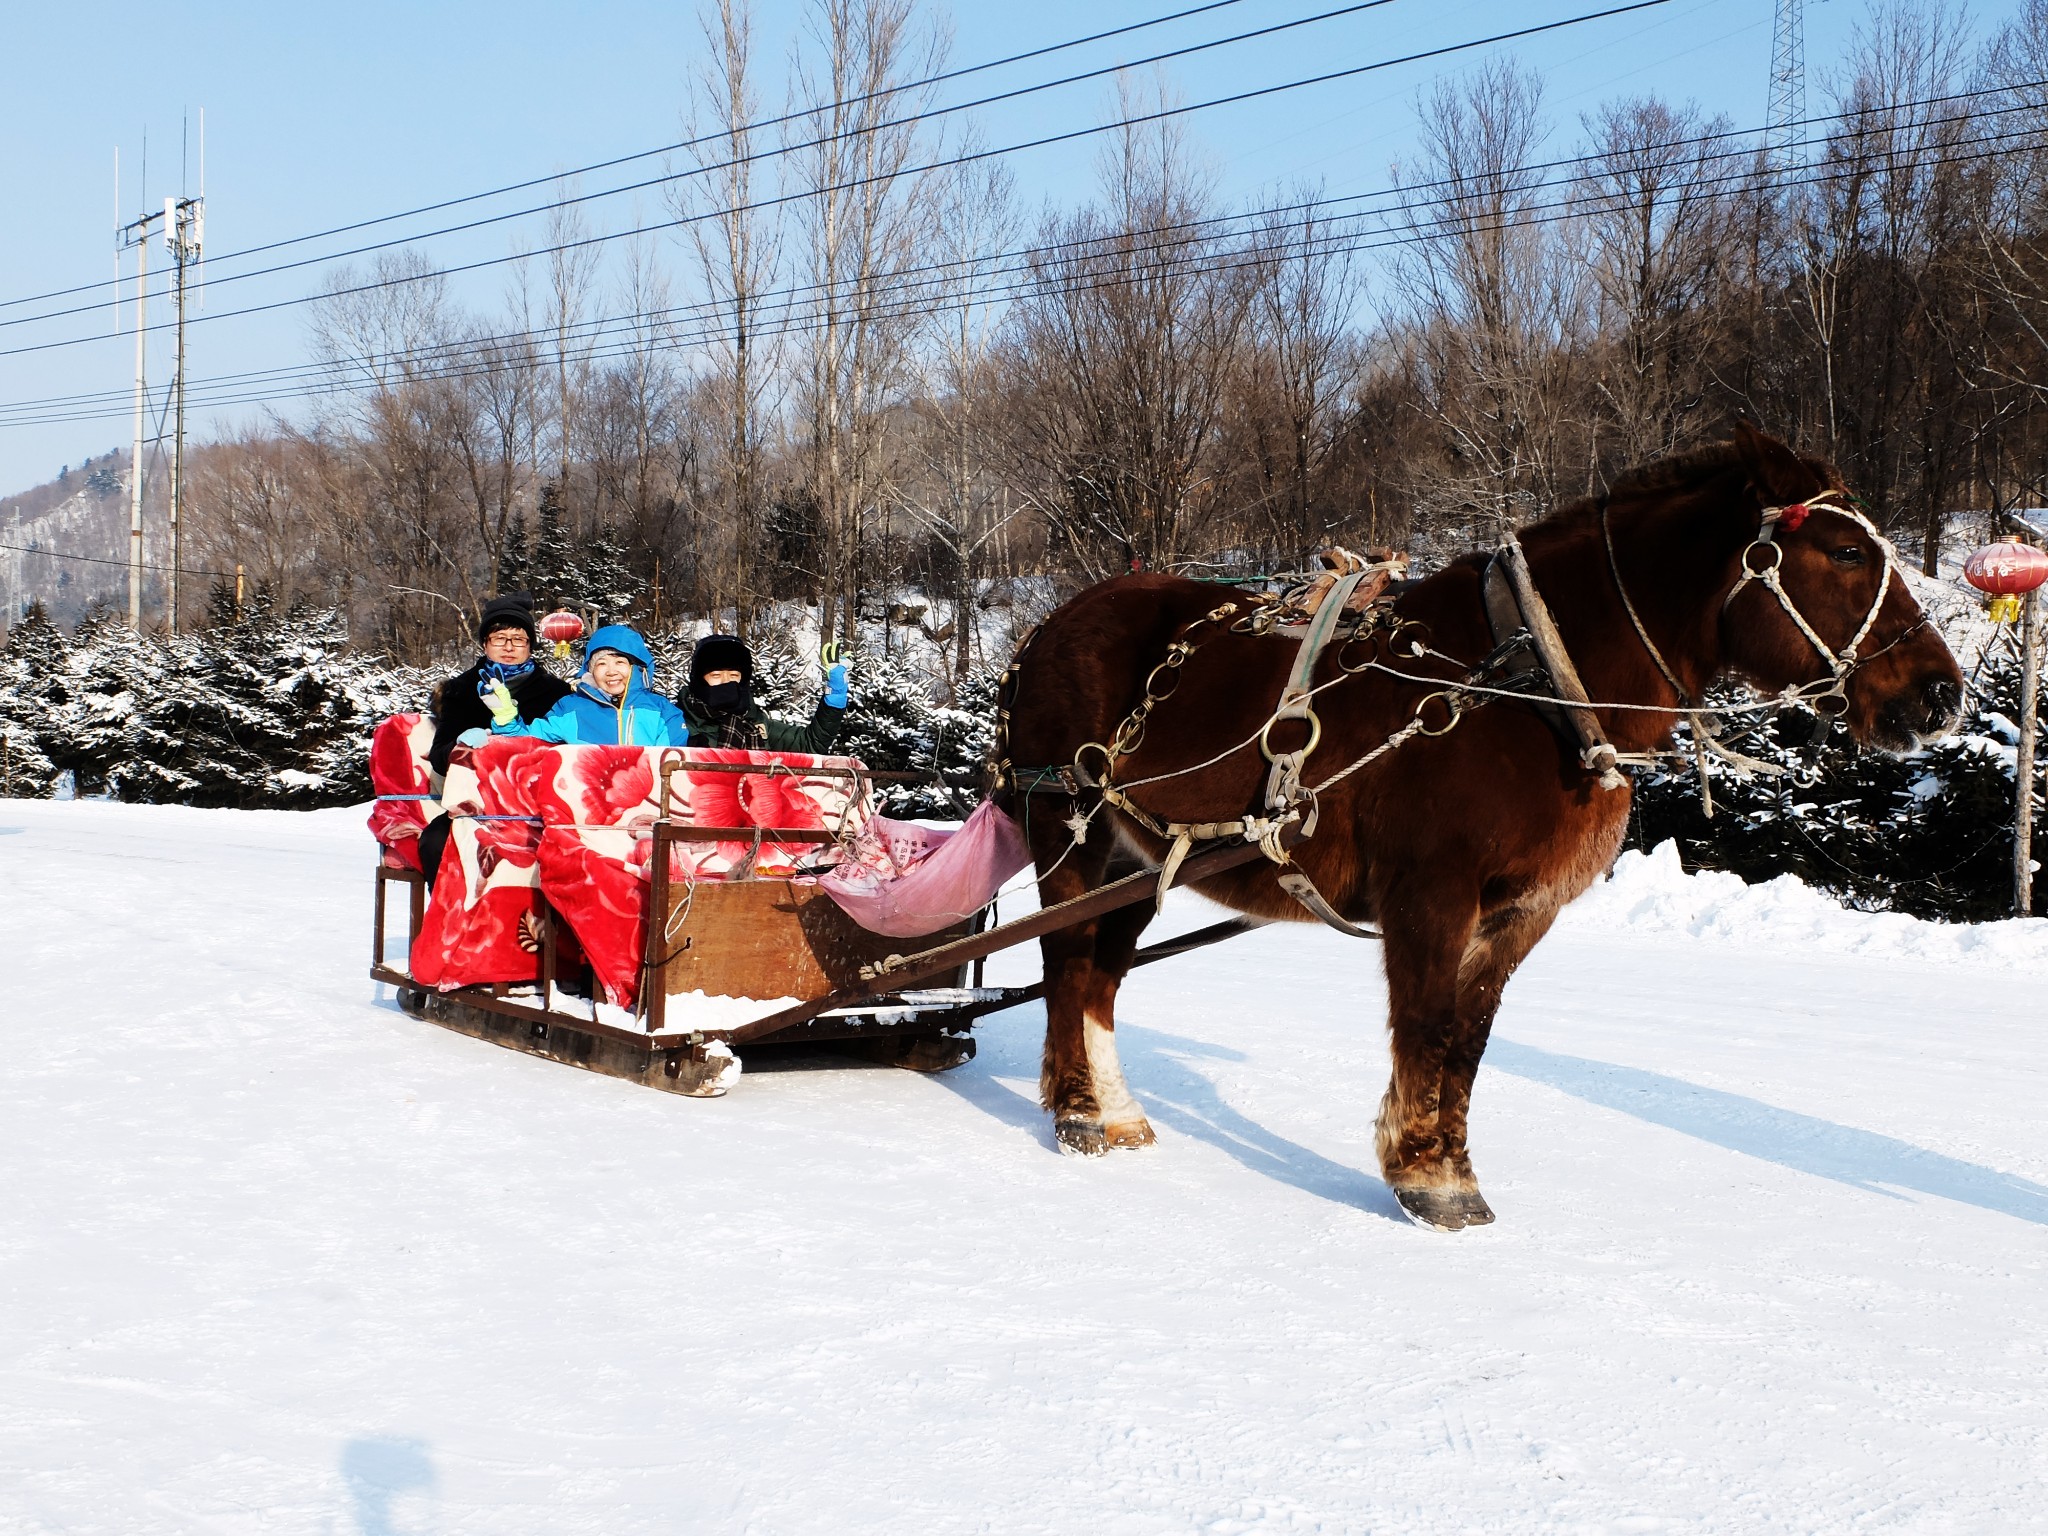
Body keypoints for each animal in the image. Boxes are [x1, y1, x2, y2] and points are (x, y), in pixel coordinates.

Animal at [999, 428, 1957, 1236]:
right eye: (1845, 553)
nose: (1941, 694)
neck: (1530, 685)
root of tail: (1047, 626)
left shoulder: (1520, 912)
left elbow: (1467, 1041)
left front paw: (1447, 1167)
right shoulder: (1432, 894)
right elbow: (1425, 1025)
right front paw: (1427, 1177)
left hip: (1144, 854)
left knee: (1102, 975)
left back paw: (1116, 1109)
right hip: (1071, 834)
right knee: (1069, 962)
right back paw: (1080, 1111)